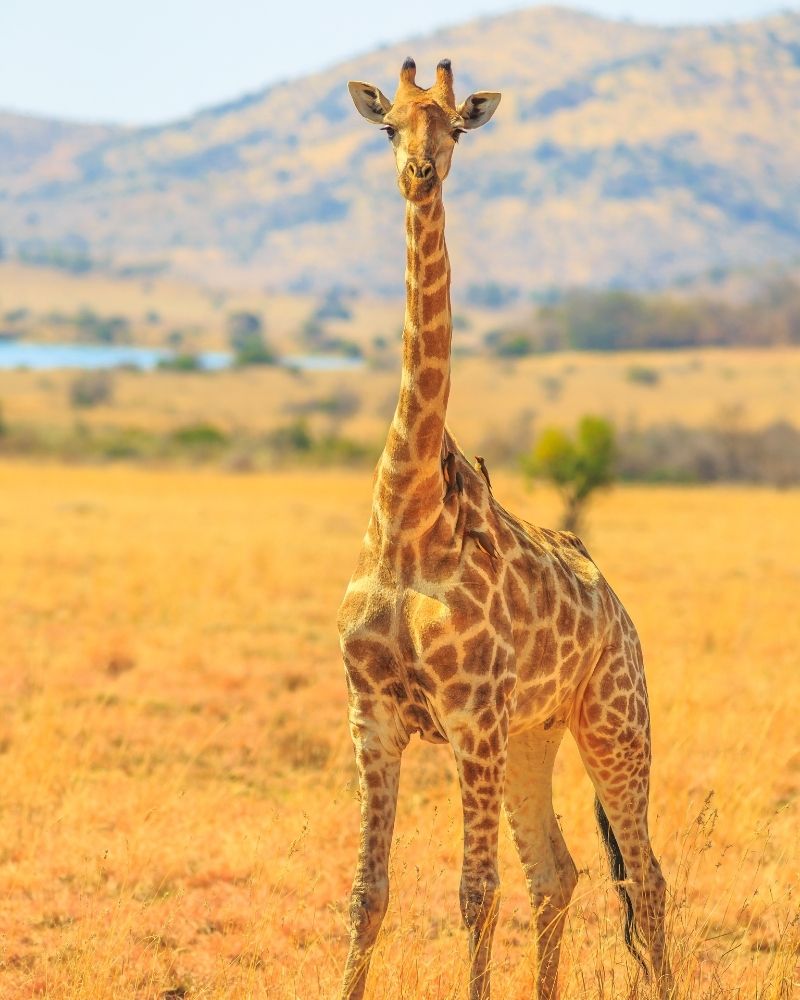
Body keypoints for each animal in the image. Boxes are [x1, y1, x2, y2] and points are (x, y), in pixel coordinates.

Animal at [337, 57, 673, 1000]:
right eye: (389, 126)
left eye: (455, 125)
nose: (420, 172)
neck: (406, 514)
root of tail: (618, 610)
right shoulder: (373, 716)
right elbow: (367, 894)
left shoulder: (470, 719)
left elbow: (474, 892)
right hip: (536, 733)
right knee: (559, 870)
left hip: (614, 721)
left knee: (646, 876)